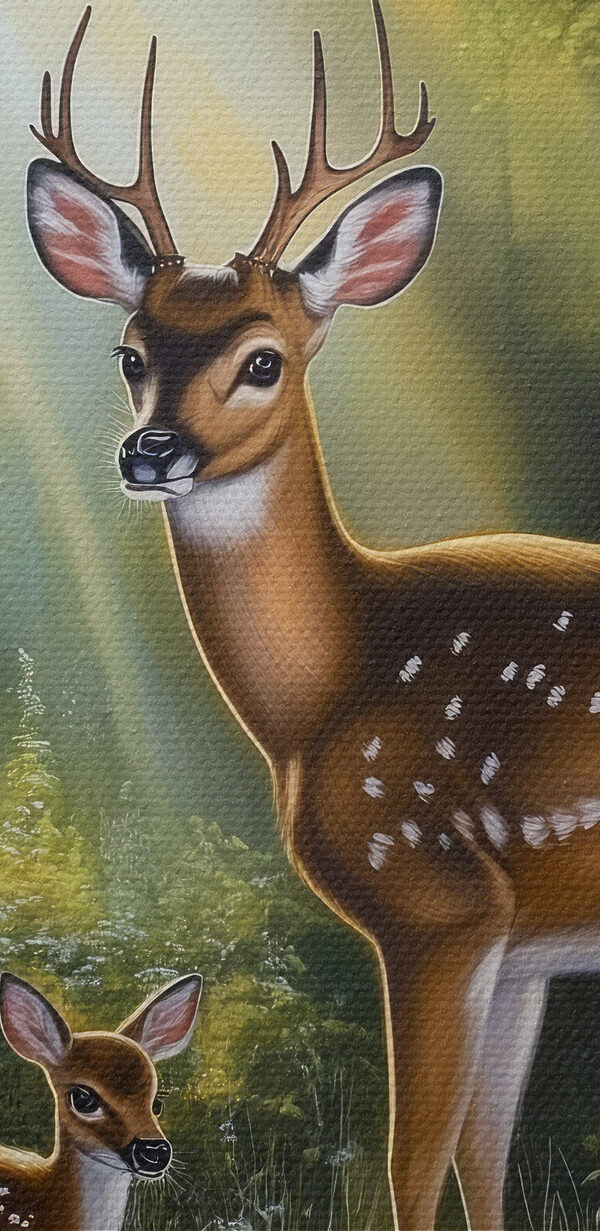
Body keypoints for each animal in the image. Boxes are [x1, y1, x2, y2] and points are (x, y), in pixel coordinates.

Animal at [24, 4, 600, 1228]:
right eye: (130, 355)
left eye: (261, 359)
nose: (149, 451)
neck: (328, 691)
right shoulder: (522, 945)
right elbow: (483, 1156)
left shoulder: (434, 899)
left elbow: (412, 1158)